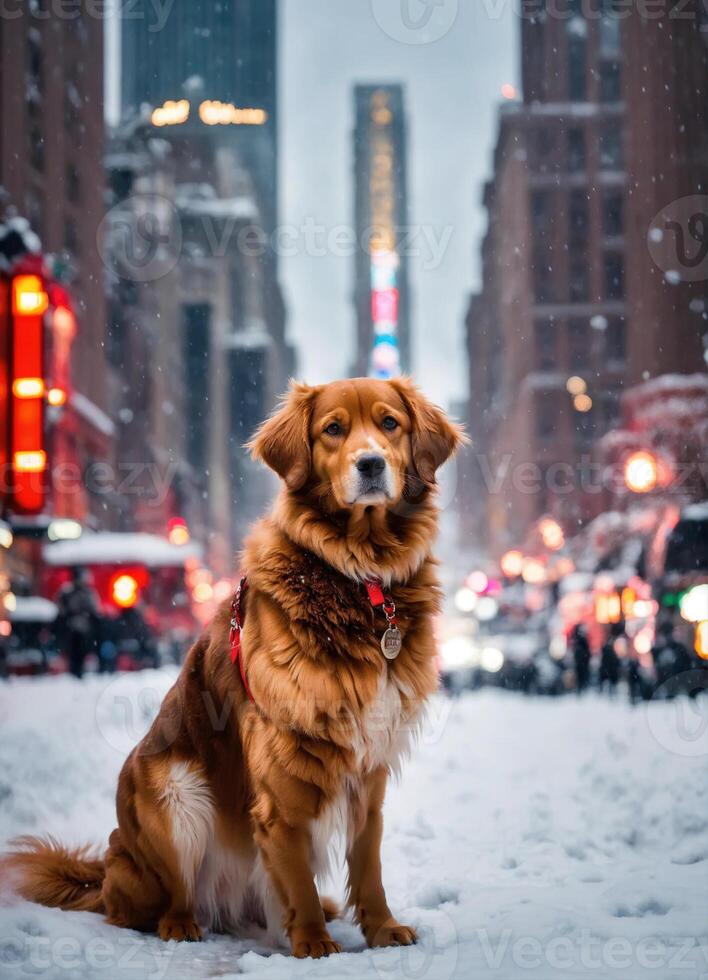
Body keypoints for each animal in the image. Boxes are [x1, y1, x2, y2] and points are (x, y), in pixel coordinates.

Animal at [2, 378, 468, 960]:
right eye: (333, 429)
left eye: (390, 424)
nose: (370, 464)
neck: (361, 578)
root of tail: (107, 874)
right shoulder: (284, 761)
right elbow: (294, 868)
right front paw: (313, 943)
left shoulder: (370, 765)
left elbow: (368, 864)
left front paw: (382, 930)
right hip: (175, 793)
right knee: (166, 902)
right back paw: (184, 926)